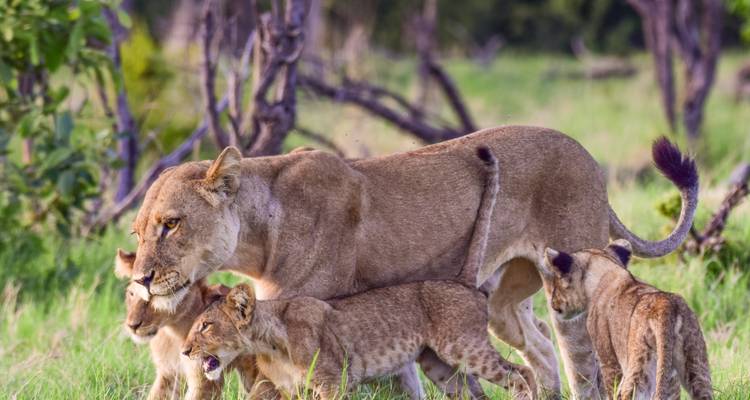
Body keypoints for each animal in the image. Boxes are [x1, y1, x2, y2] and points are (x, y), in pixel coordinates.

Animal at [116, 250, 256, 400]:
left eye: (156, 297)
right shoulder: (169, 374)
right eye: (131, 293)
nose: (132, 325)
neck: (173, 333)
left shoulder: (206, 381)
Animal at [181, 147, 537, 400]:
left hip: (463, 346)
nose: (185, 351)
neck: (268, 342)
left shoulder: (334, 383)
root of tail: (460, 281)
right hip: (439, 363)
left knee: (522, 374)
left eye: (206, 325)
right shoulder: (295, 390)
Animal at [538, 240, 713, 400]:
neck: (607, 269)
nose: (552, 303)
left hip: (639, 367)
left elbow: (610, 389)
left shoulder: (609, 361)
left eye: (557, 281)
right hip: (695, 366)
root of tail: (666, 306)